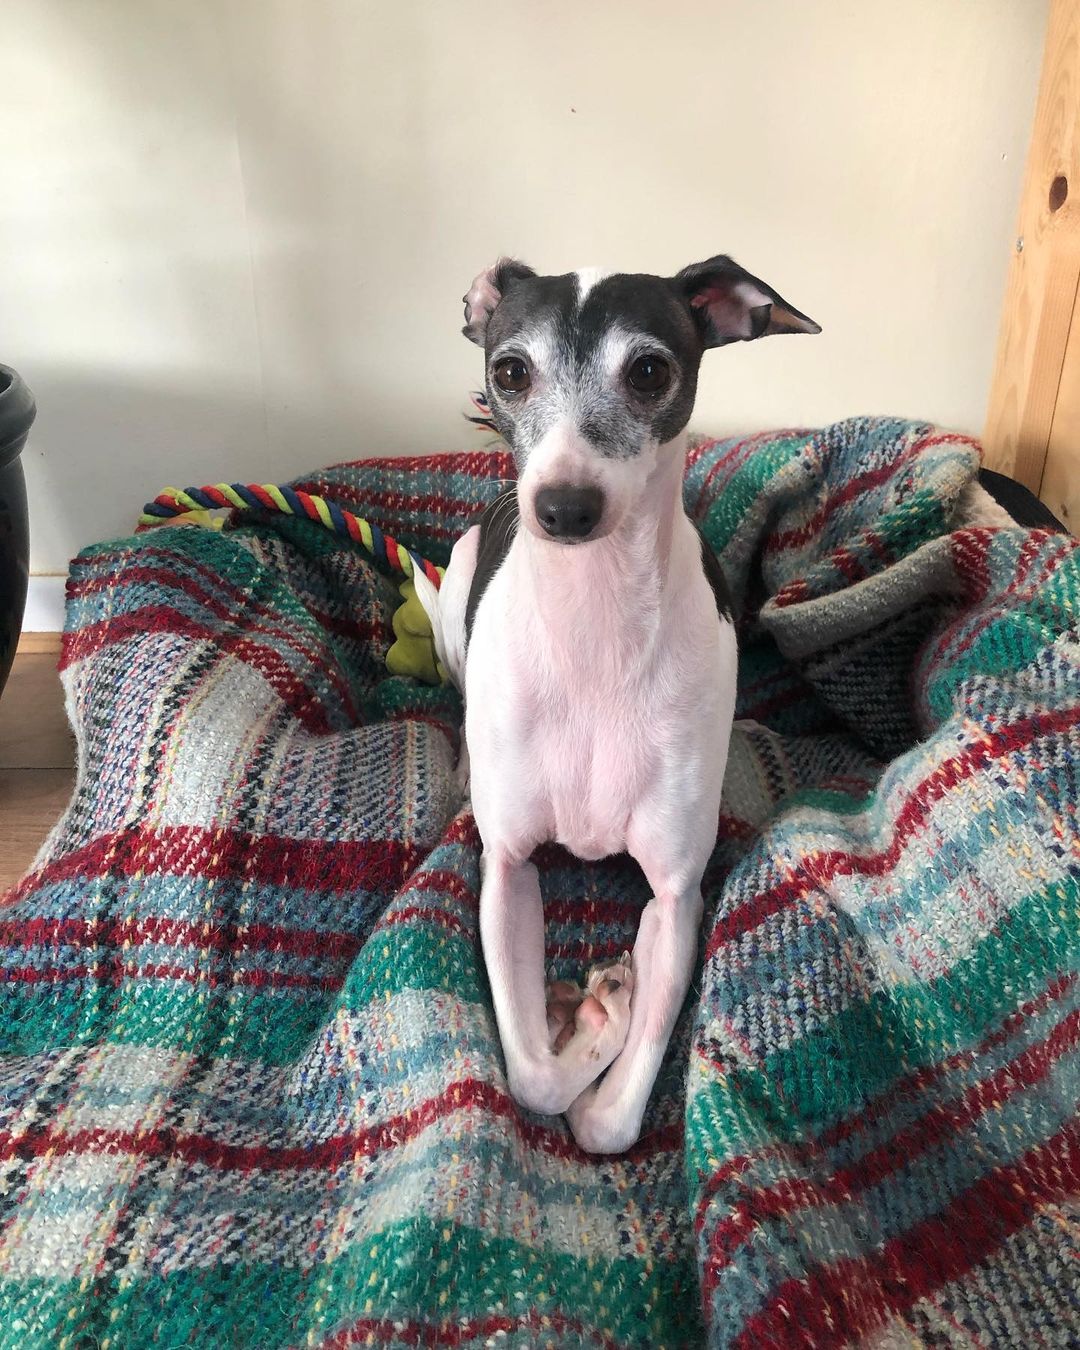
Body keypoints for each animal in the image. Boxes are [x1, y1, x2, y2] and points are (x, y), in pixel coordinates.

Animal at [413, 253, 820, 1150]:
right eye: (511, 371)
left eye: (648, 372)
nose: (564, 508)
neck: (595, 632)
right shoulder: (508, 869)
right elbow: (532, 1078)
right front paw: (592, 1023)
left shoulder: (676, 895)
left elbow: (610, 1127)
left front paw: (611, 1017)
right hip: (457, 594)